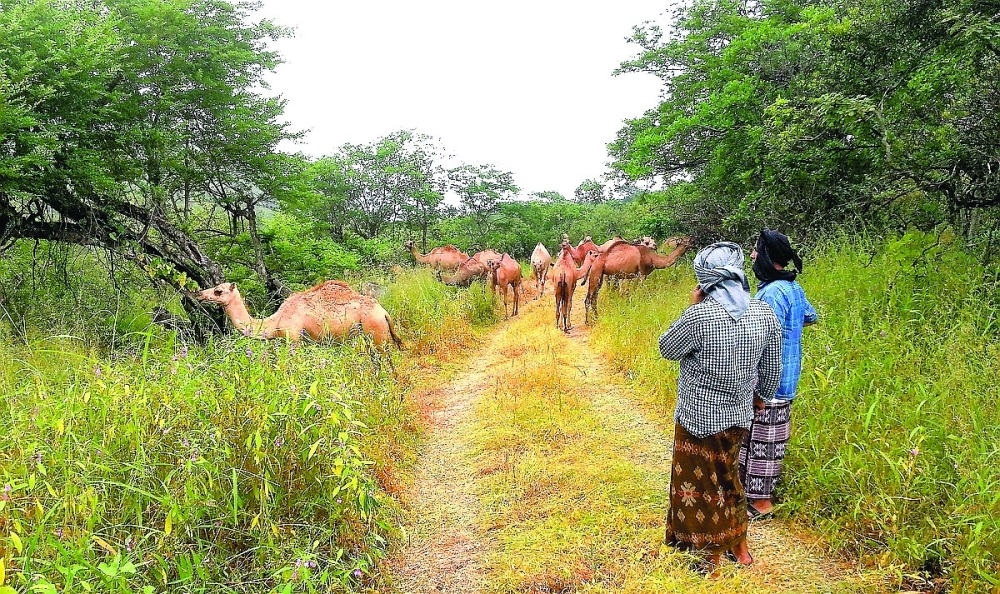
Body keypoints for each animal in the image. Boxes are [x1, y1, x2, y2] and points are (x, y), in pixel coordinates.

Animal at [194, 280, 403, 348]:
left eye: (218, 291)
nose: (199, 294)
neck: (274, 321)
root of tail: (384, 313)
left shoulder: (293, 339)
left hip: (376, 334)